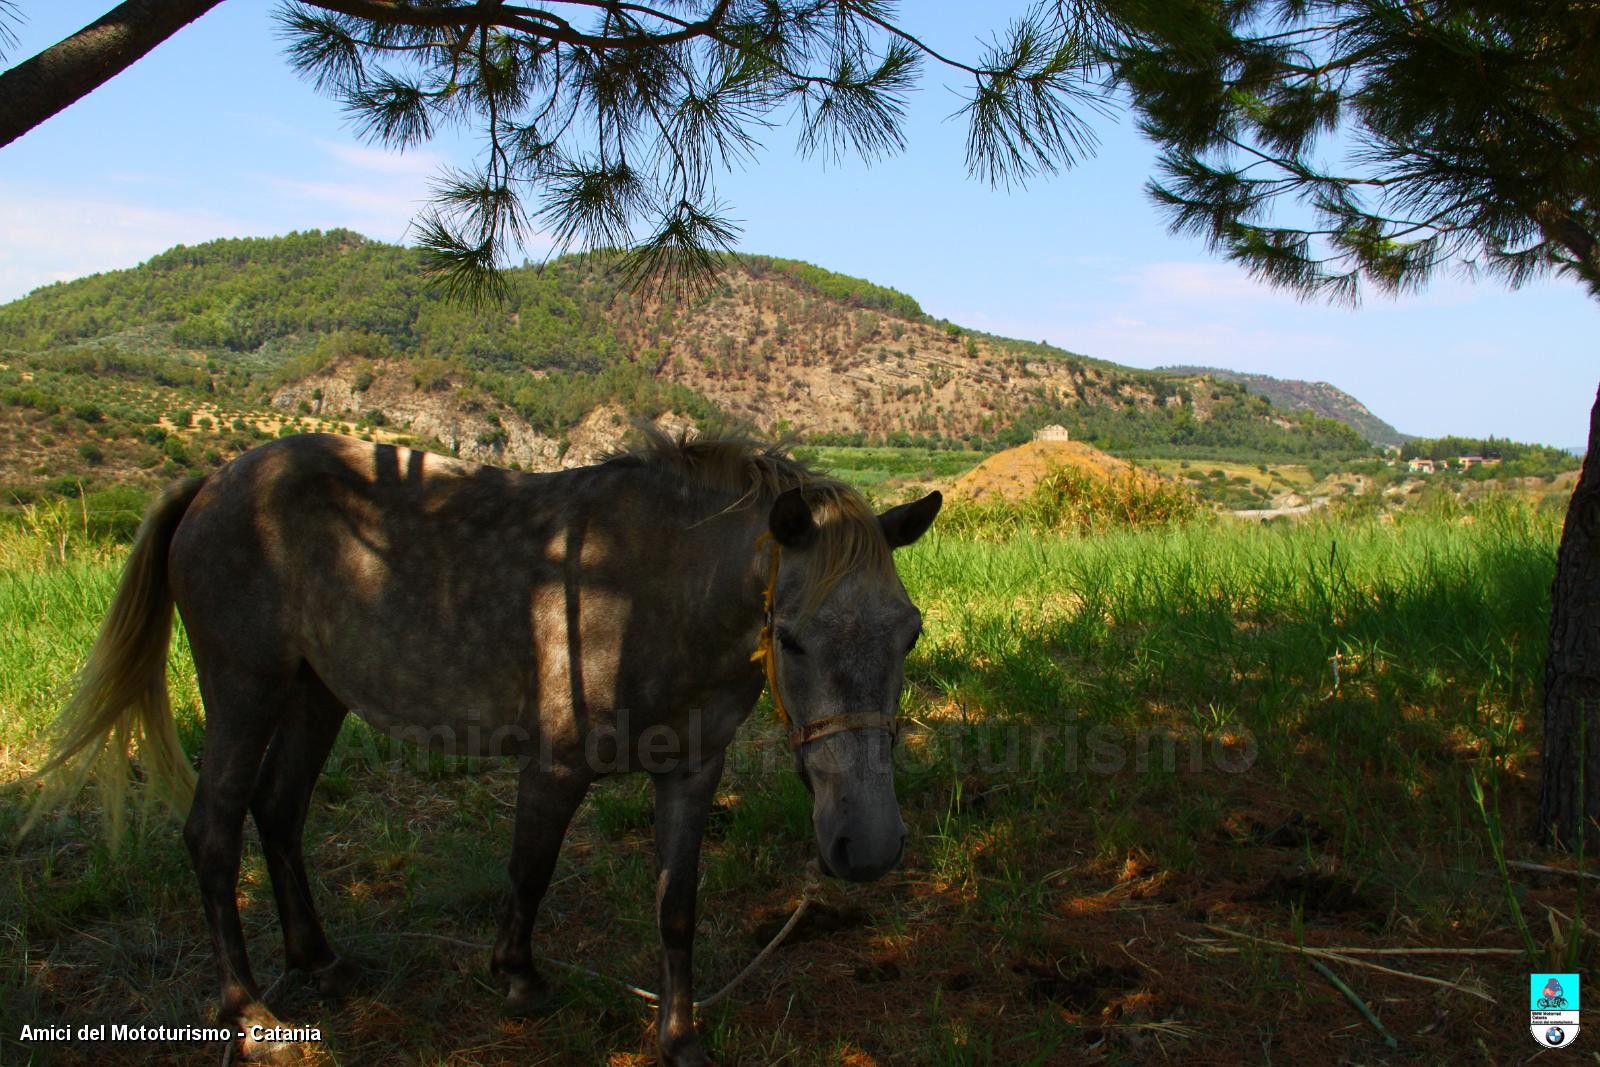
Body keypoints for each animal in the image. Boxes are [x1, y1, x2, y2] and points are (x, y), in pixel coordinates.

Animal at [37, 428, 940, 1062]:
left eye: (910, 632)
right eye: (791, 638)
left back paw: (320, 960)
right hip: (243, 692)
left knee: (279, 812)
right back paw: (247, 1008)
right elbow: (529, 868)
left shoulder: (692, 771)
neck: (649, 587)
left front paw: (679, 1038)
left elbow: (676, 905)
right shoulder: (555, 767)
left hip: (315, 695)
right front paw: (517, 975)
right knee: (214, 832)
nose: (868, 847)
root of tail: (214, 482)